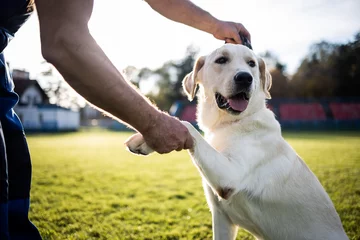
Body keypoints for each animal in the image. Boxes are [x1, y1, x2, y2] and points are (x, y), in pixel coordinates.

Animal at [125, 44, 348, 239]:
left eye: (251, 63)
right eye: (221, 60)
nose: (245, 78)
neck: (230, 124)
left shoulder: (229, 176)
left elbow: (187, 126)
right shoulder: (221, 217)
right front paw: (145, 139)